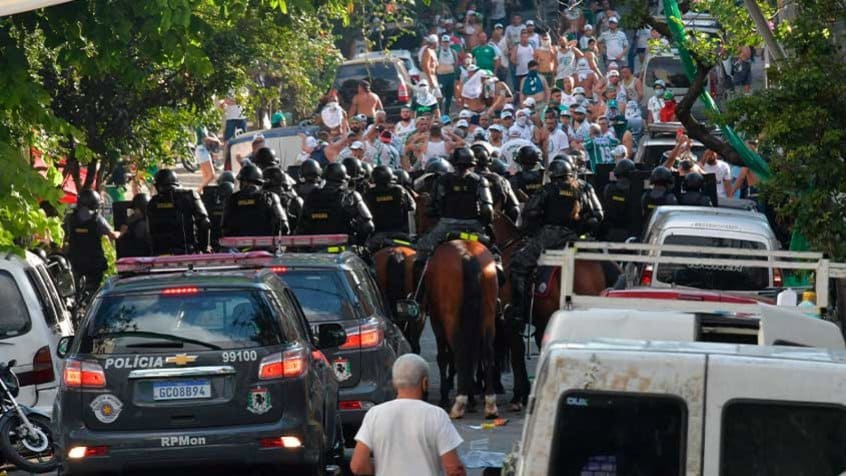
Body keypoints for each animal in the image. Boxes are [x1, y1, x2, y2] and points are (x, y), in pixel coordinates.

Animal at [428, 240, 500, 418]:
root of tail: (467, 254)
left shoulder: (436, 321)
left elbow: (444, 357)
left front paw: (445, 398)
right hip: (488, 315)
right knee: (486, 351)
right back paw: (490, 403)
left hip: (451, 317)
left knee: (460, 352)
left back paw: (459, 403)